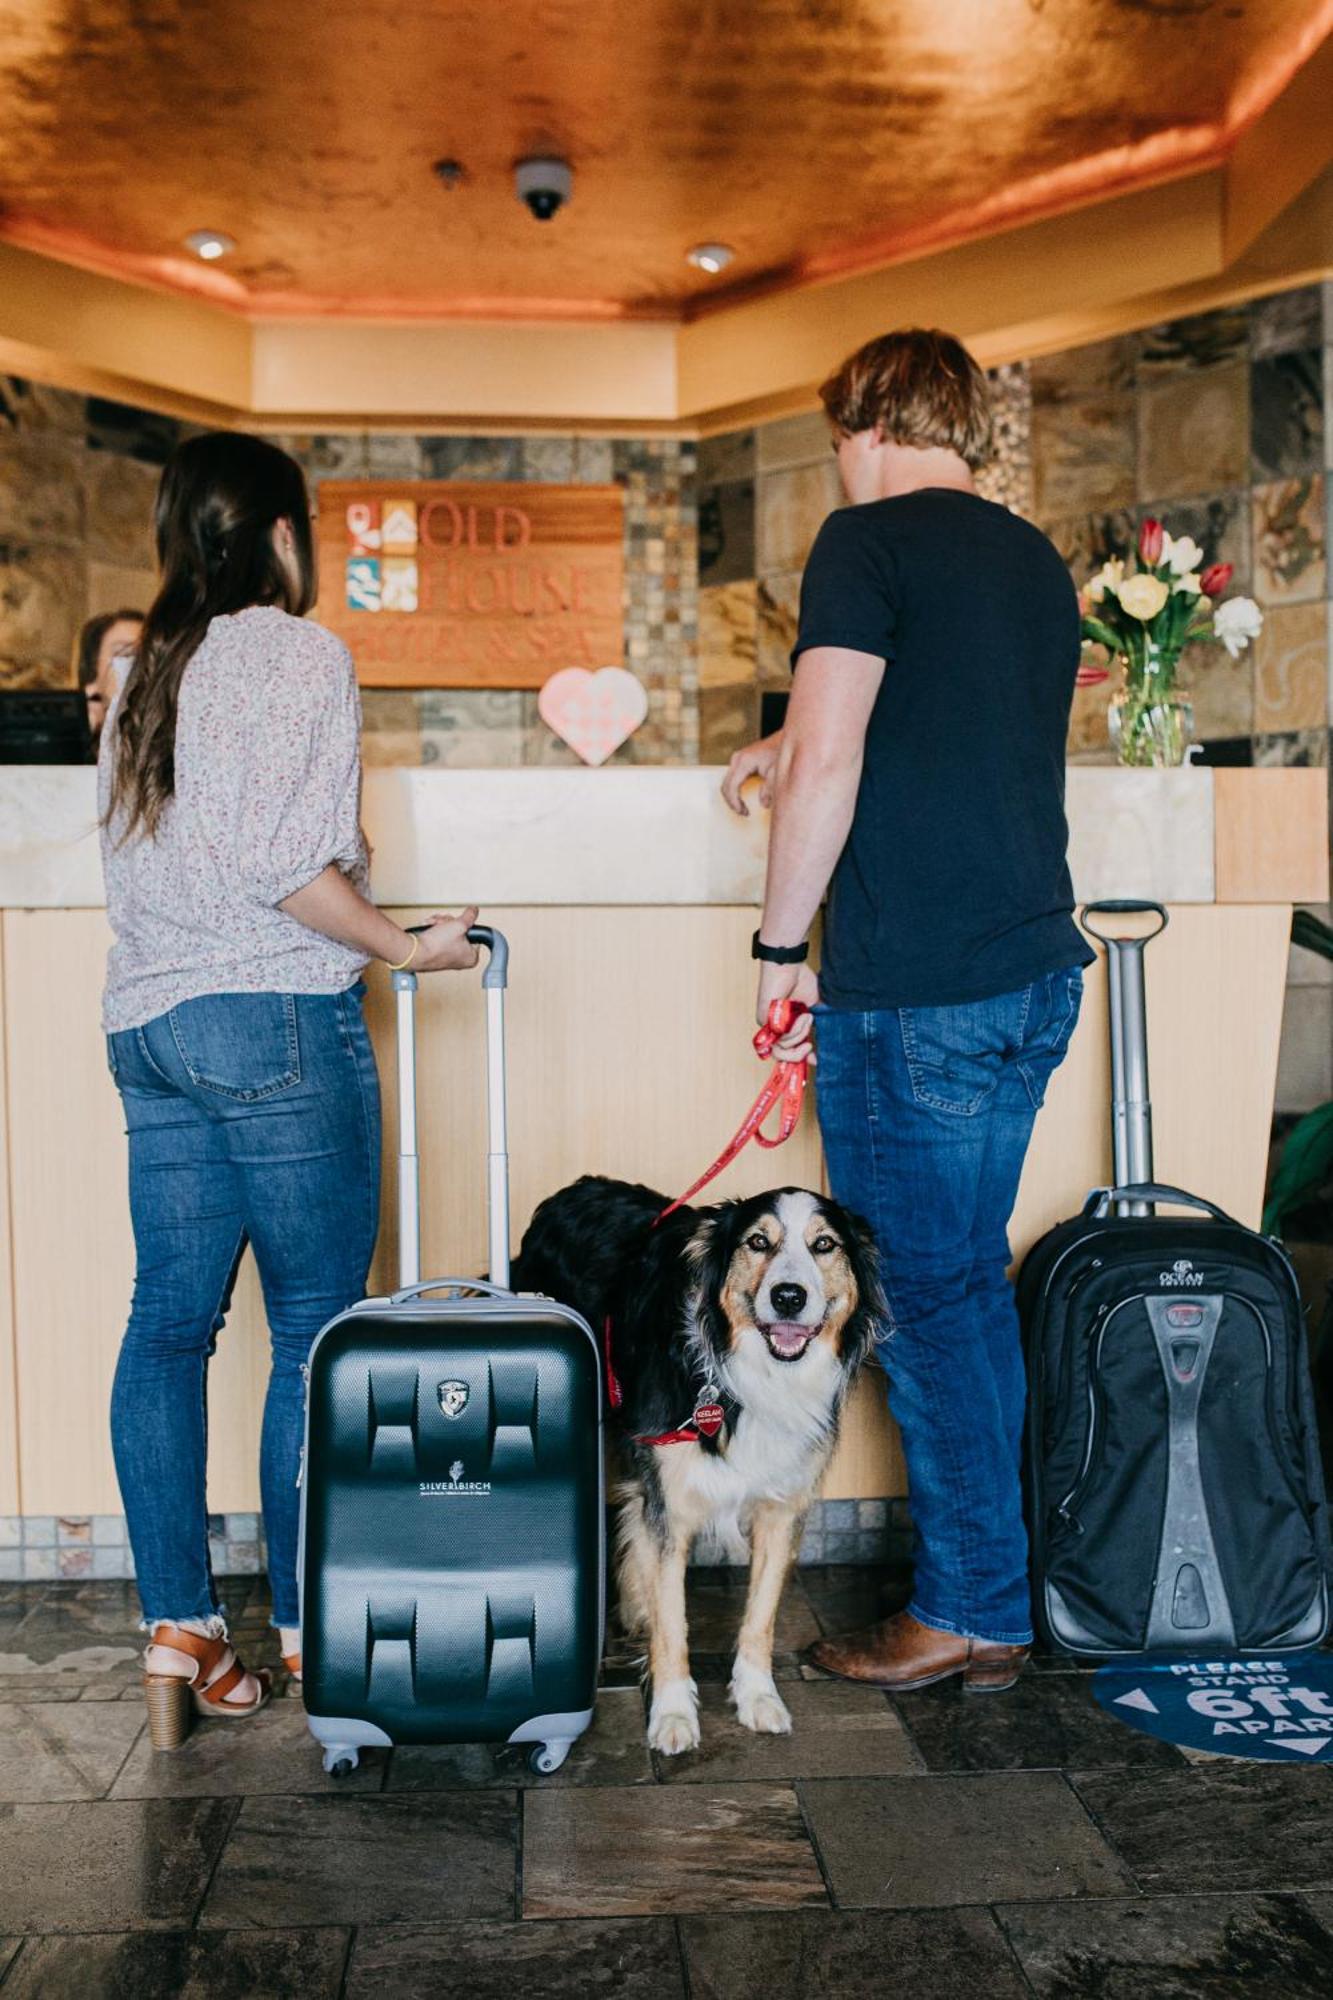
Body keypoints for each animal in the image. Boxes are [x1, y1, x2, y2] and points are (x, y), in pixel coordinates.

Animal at [510, 1168, 880, 1752]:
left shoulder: (782, 1506)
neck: (750, 1378)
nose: (789, 1297)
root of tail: (572, 1189)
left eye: (825, 1246)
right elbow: (672, 1620)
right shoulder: (671, 1499)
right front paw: (672, 1714)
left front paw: (757, 1698)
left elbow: (761, 1616)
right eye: (758, 1242)